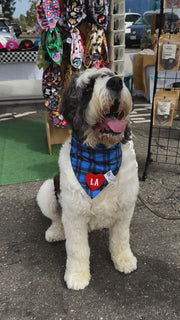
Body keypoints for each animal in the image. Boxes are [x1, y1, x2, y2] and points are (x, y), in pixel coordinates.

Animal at [35, 67, 139, 290]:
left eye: (112, 75)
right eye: (88, 88)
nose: (116, 83)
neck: (99, 153)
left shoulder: (125, 209)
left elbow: (121, 239)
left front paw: (124, 260)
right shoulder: (74, 216)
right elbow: (77, 249)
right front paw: (77, 276)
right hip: (47, 190)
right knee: (57, 218)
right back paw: (55, 231)